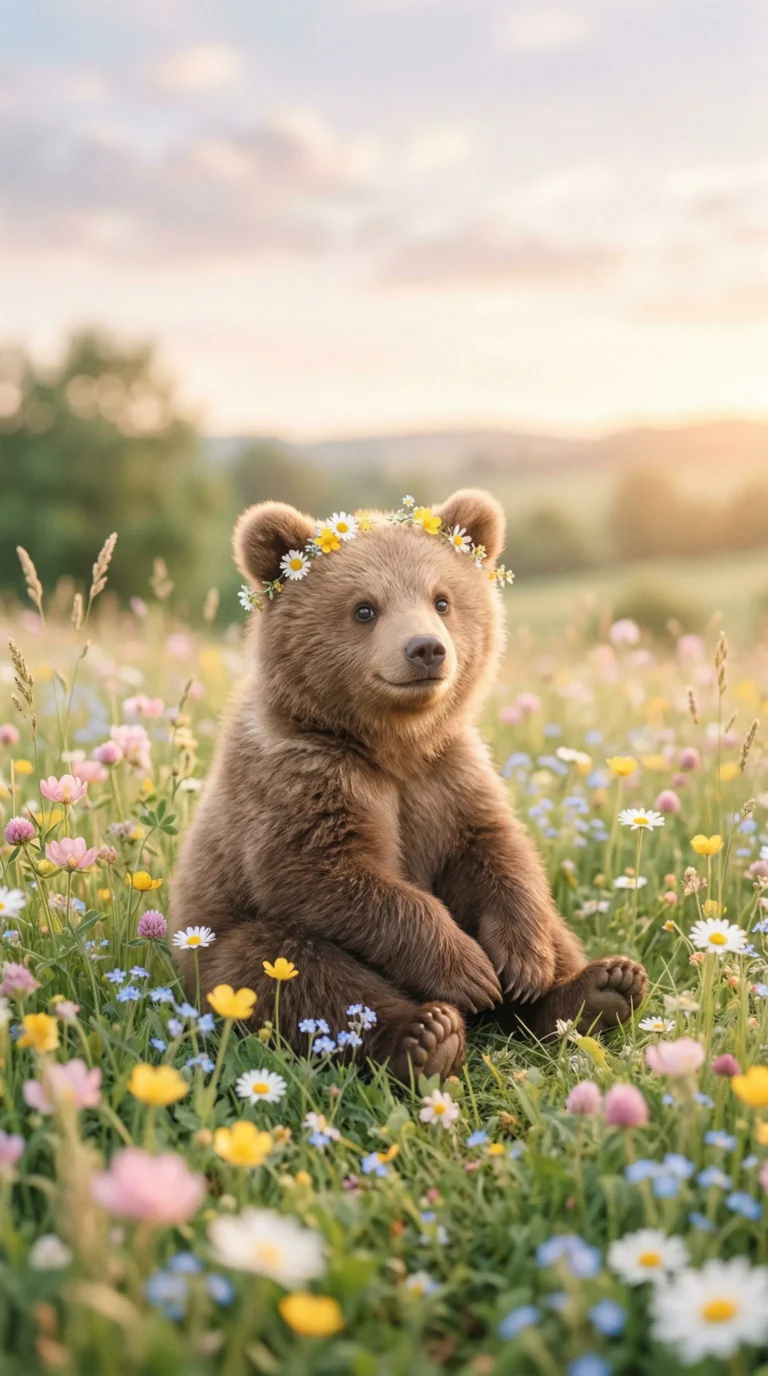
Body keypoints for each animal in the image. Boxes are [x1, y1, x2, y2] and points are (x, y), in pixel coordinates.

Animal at [171, 489, 647, 1079]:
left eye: (442, 600)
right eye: (364, 608)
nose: (425, 649)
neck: (392, 747)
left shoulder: (447, 775)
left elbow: (495, 848)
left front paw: (524, 965)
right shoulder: (301, 776)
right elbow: (331, 873)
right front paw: (468, 970)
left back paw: (599, 989)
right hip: (219, 947)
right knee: (294, 973)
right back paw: (427, 1035)